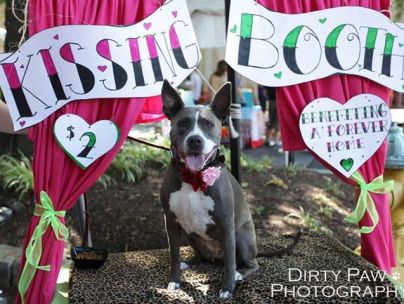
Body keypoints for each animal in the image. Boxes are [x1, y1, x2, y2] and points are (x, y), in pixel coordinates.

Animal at [159, 79, 258, 300]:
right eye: (183, 123)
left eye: (209, 125)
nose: (195, 139)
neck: (193, 177)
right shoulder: (171, 222)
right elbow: (174, 254)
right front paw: (174, 280)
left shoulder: (226, 223)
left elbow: (230, 261)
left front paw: (227, 287)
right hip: (190, 234)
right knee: (201, 256)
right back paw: (190, 262)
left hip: (241, 235)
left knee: (250, 263)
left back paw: (240, 273)